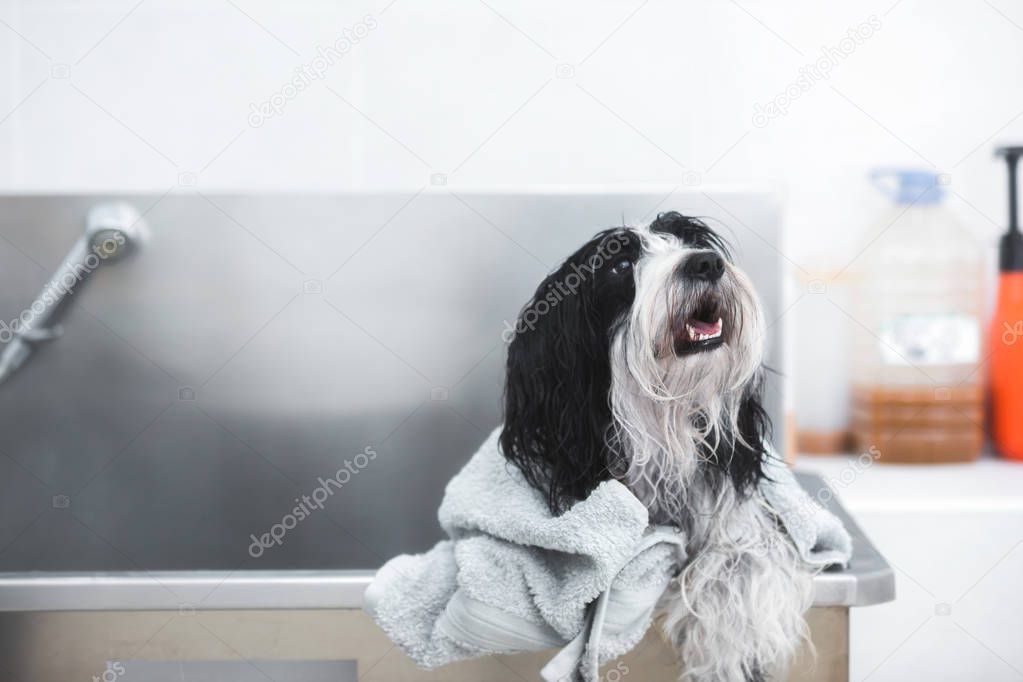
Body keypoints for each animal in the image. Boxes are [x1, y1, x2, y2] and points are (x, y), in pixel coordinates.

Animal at [499, 213, 810, 682]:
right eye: (619, 265)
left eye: (690, 239)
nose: (706, 263)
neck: (664, 428)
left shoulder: (740, 513)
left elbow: (741, 562)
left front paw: (732, 654)